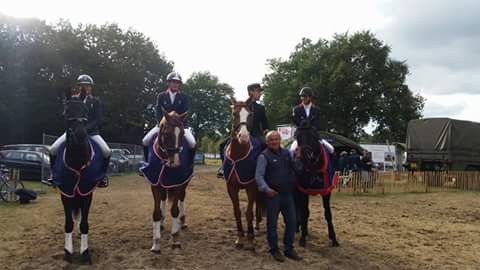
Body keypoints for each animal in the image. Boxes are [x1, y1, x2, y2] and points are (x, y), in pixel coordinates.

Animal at [50, 88, 107, 264]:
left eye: (86, 111)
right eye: (66, 111)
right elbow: (68, 223)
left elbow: (84, 224)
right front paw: (68, 252)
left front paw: (85, 253)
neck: (76, 160)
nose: (82, 135)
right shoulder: (66, 192)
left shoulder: (86, 192)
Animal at [139, 110, 195, 253]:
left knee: (182, 198)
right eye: (166, 133)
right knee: (164, 198)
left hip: (183, 183)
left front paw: (175, 240)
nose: (175, 163)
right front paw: (156, 243)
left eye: (182, 133)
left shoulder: (177, 183)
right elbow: (156, 213)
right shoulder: (155, 183)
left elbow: (174, 210)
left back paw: (182, 221)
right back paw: (163, 222)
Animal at [222, 96, 264, 249]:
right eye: (234, 114)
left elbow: (248, 212)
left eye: (250, 115)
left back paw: (256, 226)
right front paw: (240, 237)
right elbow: (237, 211)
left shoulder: (251, 187)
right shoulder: (231, 188)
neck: (237, 156)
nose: (244, 136)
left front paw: (250, 239)